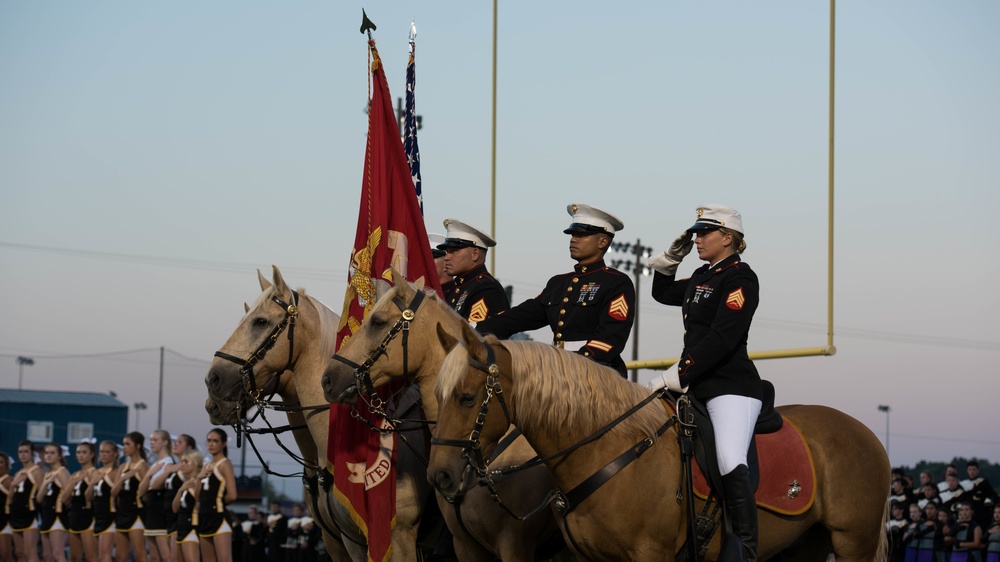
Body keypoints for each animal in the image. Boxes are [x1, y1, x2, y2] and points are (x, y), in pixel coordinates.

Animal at [430, 320, 892, 560]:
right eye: (438, 394)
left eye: (466, 396)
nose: (440, 476)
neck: (606, 451)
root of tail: (866, 434)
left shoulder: (648, 554)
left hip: (854, 541)